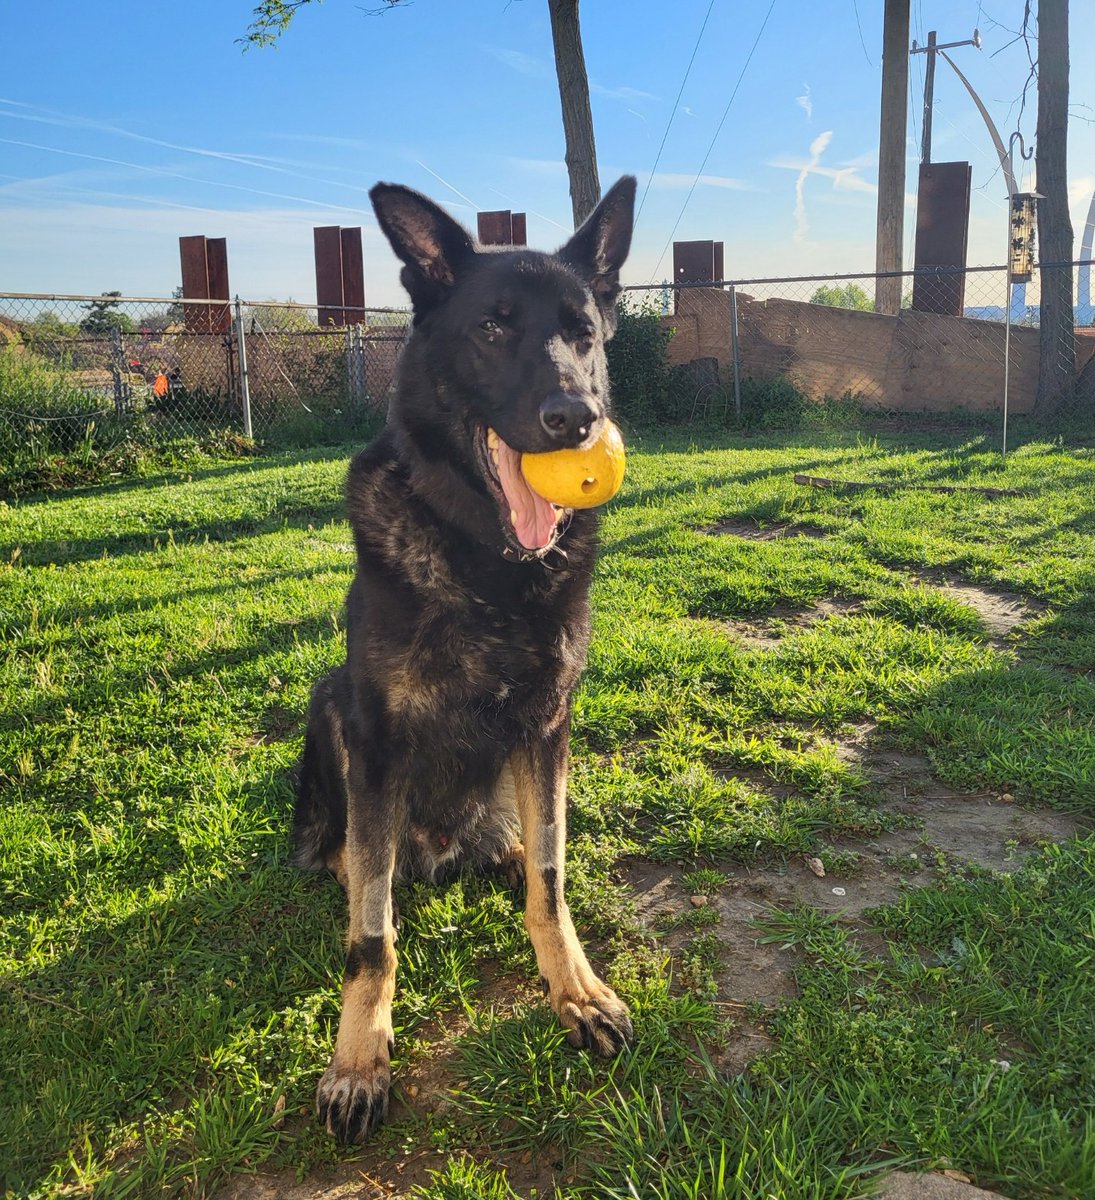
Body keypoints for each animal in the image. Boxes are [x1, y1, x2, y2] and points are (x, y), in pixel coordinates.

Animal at [295, 177, 638, 1142]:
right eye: (491, 327)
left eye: (583, 332)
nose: (575, 418)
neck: (490, 561)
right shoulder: (373, 738)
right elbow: (371, 936)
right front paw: (358, 1061)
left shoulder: (549, 724)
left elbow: (552, 881)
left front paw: (574, 990)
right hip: (327, 704)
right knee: (351, 862)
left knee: (525, 850)